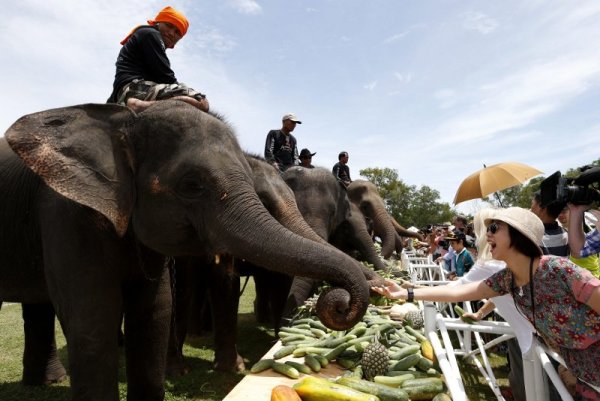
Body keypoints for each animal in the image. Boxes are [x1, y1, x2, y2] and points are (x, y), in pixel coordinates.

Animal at [0, 102, 376, 400]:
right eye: (192, 186)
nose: (341, 302)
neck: (123, 122)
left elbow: (159, 307)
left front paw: (232, 366)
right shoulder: (66, 211)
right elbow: (93, 314)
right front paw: (183, 371)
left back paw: (48, 381)